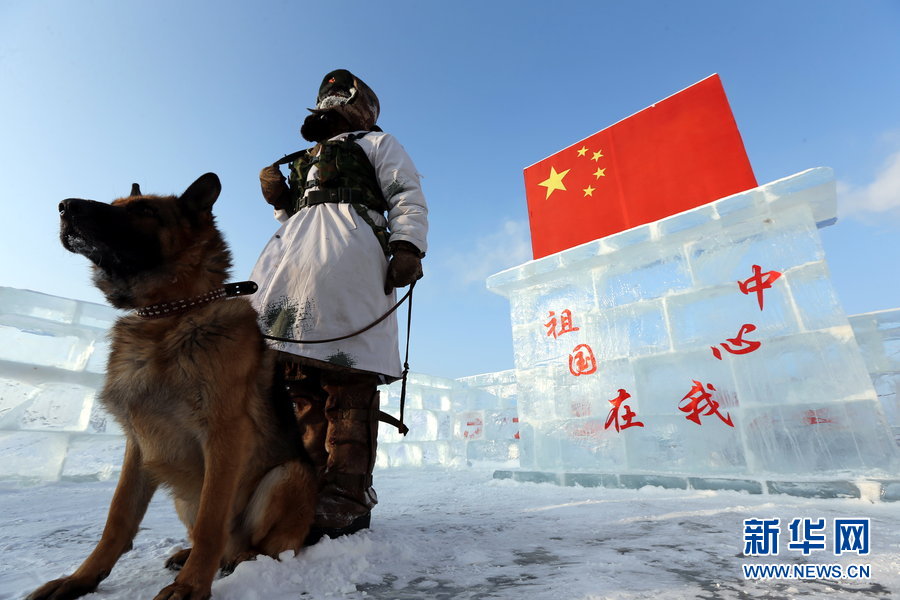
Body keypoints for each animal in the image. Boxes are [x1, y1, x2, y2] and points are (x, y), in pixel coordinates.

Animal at [29, 172, 316, 600]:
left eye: (146, 211)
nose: (65, 206)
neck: (171, 316)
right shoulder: (139, 444)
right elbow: (117, 519)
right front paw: (80, 579)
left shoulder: (225, 436)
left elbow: (211, 521)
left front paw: (191, 587)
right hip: (184, 495)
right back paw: (188, 554)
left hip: (289, 476)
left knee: (265, 548)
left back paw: (239, 559)